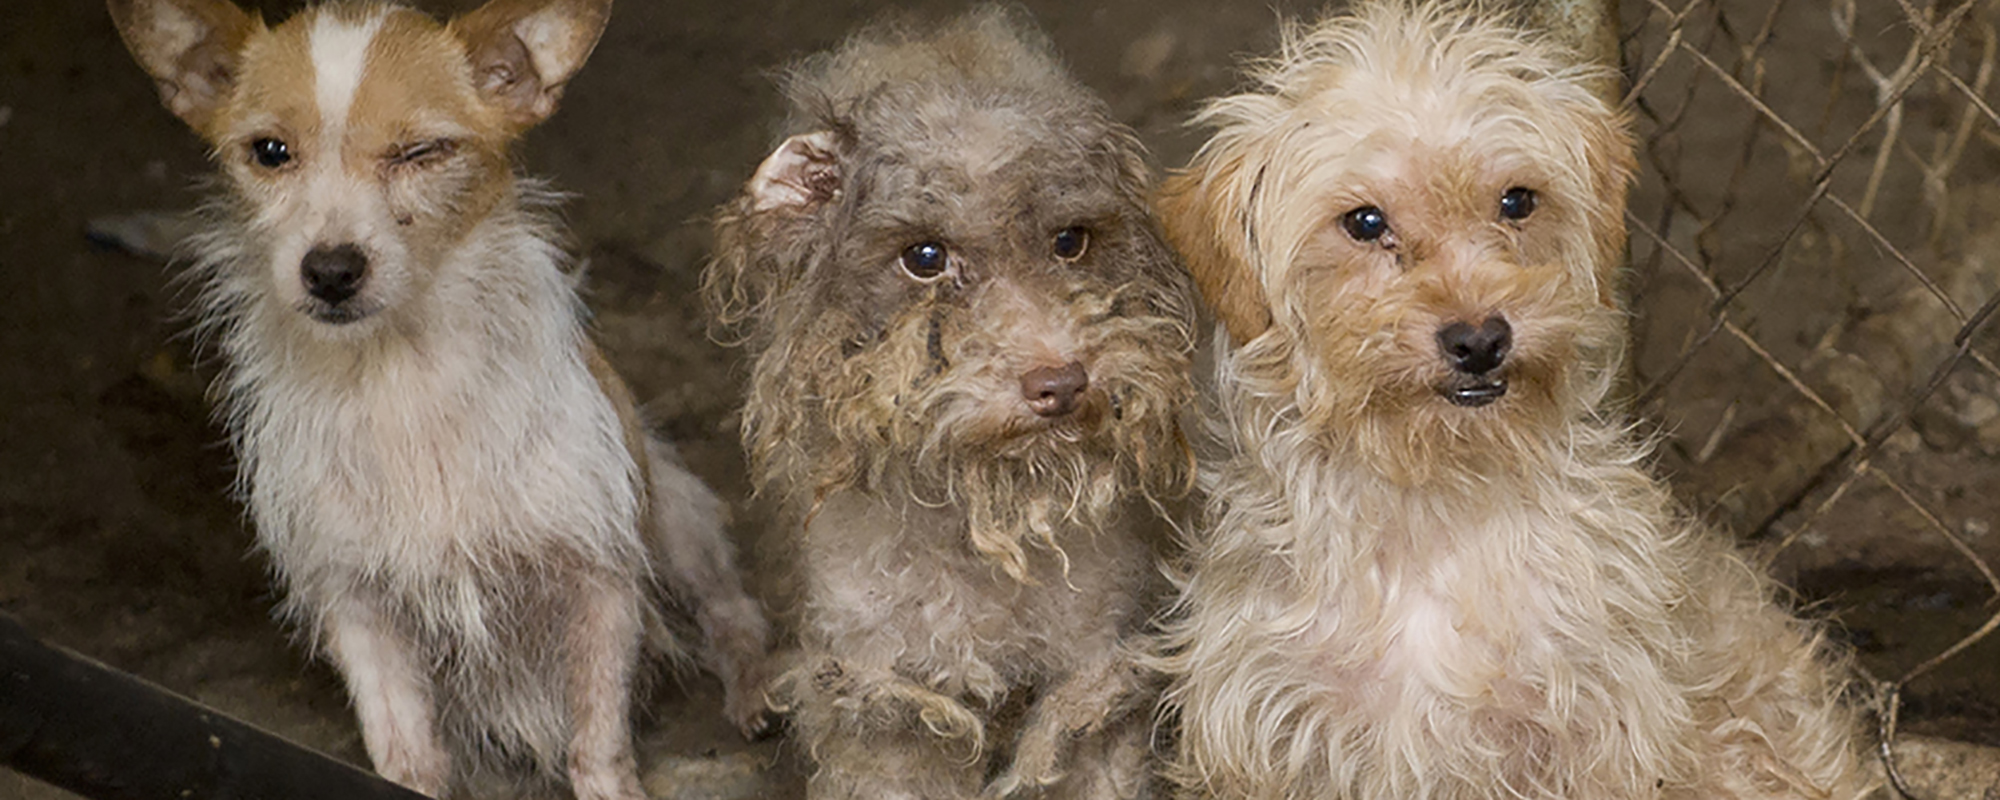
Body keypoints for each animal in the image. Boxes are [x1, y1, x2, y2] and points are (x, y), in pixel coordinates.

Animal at [103, 3, 772, 796]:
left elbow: (598, 744)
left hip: (674, 516)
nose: (331, 271)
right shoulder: (358, 607)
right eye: (270, 152)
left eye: (421, 152)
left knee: (733, 610)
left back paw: (756, 691)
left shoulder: (599, 578)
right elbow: (406, 753)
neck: (402, 376)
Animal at [712, 7, 1192, 800]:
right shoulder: (882, 698)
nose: (1062, 383)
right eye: (926, 259)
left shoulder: (1093, 681)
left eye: (1070, 242)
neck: (978, 537)